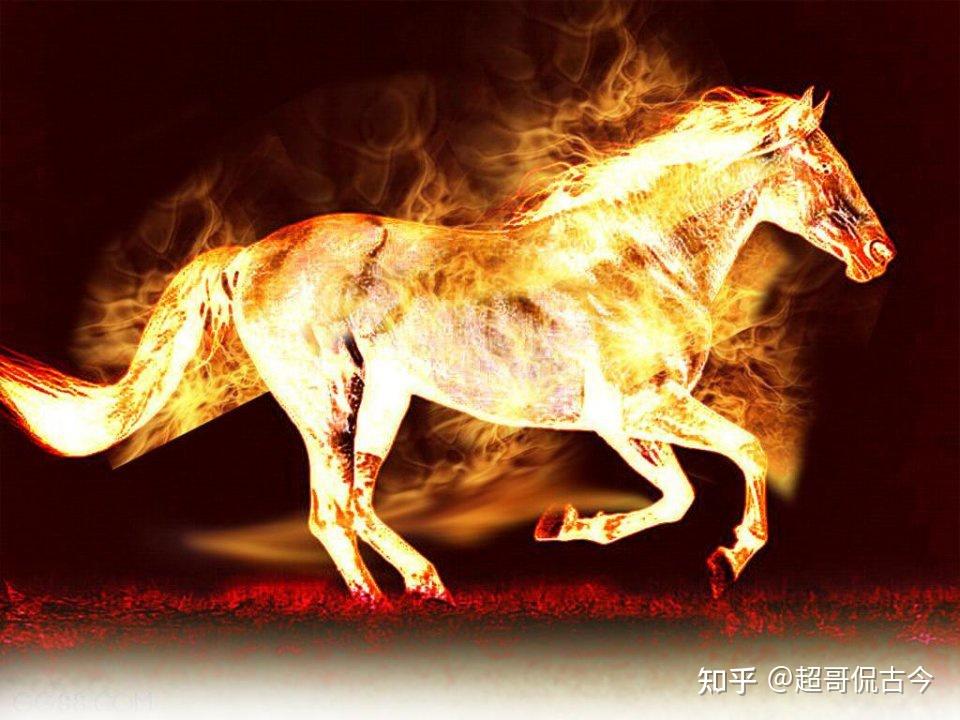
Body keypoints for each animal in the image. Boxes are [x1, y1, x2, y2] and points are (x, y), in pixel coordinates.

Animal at [0, 88, 895, 601]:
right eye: (822, 162)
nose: (880, 253)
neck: (646, 254)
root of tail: (247, 254)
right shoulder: (635, 408)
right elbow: (741, 453)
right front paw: (729, 560)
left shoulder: (626, 421)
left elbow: (678, 493)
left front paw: (564, 527)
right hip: (328, 402)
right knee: (332, 510)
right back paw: (385, 603)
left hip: (381, 400)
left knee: (354, 503)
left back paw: (425, 586)